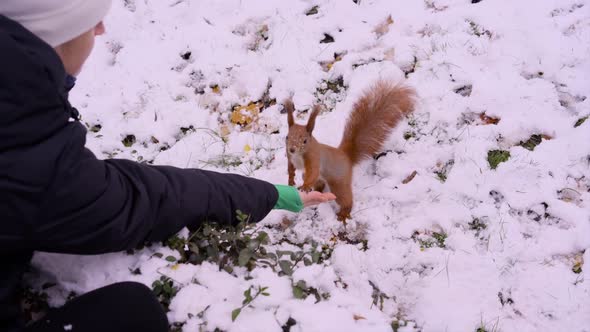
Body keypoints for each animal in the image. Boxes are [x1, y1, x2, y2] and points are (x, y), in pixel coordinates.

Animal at [286, 79, 416, 222]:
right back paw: (318, 191)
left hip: (339, 182)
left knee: (345, 198)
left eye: (304, 141)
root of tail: (345, 155)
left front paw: (305, 186)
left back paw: (344, 213)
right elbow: (290, 167)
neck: (298, 155)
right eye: (287, 137)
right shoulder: (290, 157)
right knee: (320, 184)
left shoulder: (314, 158)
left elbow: (313, 172)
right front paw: (291, 179)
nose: (292, 149)